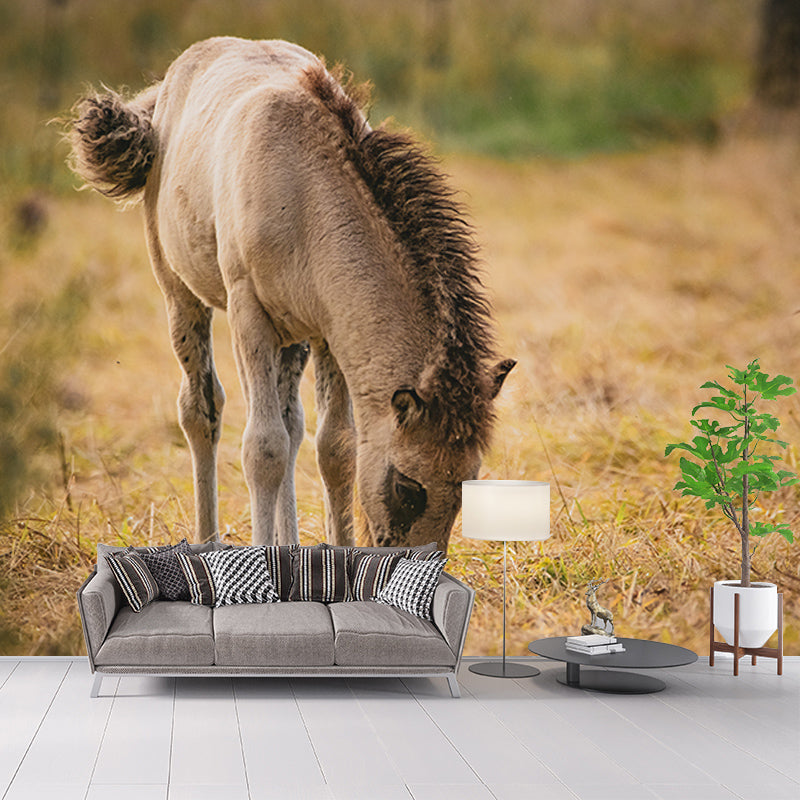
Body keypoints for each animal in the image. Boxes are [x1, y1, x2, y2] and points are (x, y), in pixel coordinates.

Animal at [67, 37, 514, 551]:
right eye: (408, 488)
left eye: (466, 486)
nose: (420, 566)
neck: (304, 195)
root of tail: (162, 92)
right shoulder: (249, 314)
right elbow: (264, 448)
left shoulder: (328, 331)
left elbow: (335, 447)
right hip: (180, 292)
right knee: (202, 410)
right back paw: (208, 541)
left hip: (292, 337)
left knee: (292, 420)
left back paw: (290, 544)